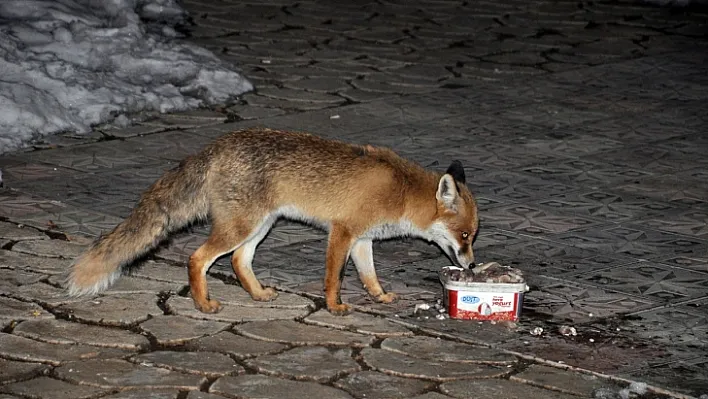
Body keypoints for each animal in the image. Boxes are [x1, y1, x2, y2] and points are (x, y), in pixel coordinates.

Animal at [66, 128, 478, 316]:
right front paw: (334, 306)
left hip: (260, 225)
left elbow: (370, 276)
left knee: (237, 261)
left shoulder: (363, 240)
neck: (402, 190)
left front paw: (380, 297)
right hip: (243, 226)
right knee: (197, 259)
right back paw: (203, 304)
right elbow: (334, 278)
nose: (472, 266)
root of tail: (217, 145)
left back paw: (258, 294)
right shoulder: (342, 233)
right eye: (465, 235)